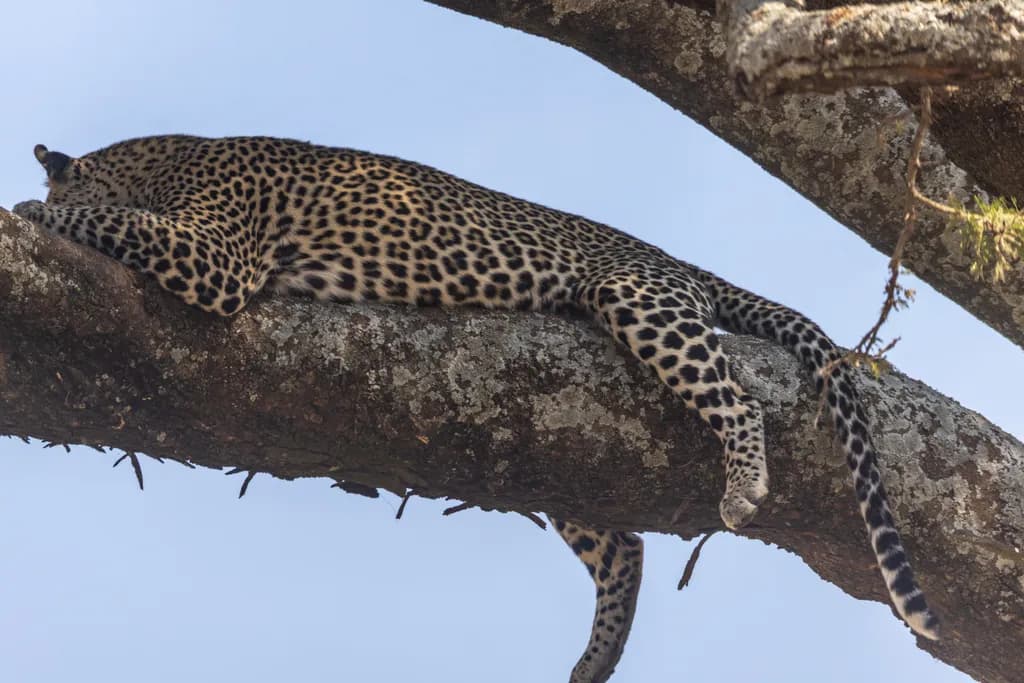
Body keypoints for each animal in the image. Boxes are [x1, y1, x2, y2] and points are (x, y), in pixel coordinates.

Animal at [12, 135, 939, 683]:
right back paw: (598, 658)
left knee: (737, 398)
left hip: (640, 298)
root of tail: (672, 259)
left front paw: (33, 209)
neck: (149, 158)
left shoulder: (216, 251)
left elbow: (114, 220)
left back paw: (744, 484)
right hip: (569, 452)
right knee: (625, 543)